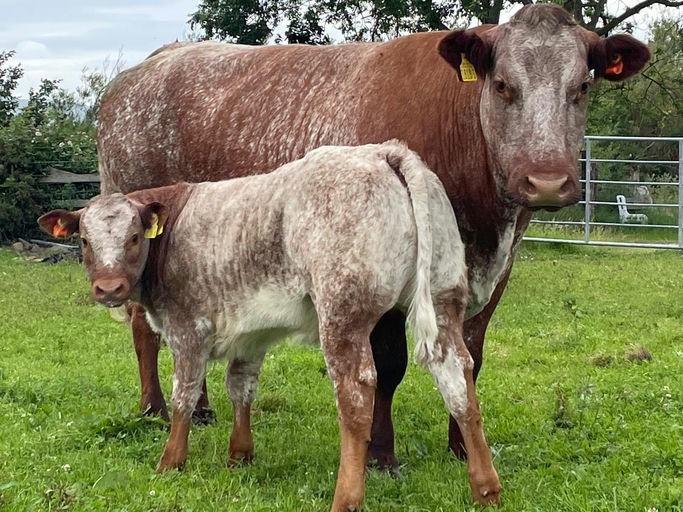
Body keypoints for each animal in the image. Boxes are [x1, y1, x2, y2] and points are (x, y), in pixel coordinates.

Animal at [39, 142, 501, 509]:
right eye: (84, 240)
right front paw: (239, 456)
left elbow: (183, 396)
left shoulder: (187, 327)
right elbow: (241, 387)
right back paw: (486, 488)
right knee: (457, 374)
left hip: (343, 312)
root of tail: (385, 152)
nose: (108, 288)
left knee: (355, 392)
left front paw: (170, 462)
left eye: (135, 237)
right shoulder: (250, 332)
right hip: (443, 294)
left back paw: (345, 497)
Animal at [96, 4, 650, 467]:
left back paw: (202, 408)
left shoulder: (494, 271)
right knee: (144, 327)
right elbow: (388, 365)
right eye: (502, 86)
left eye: (582, 86)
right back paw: (154, 409)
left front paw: (461, 448)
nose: (547, 181)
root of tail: (146, 66)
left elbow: (469, 359)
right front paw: (381, 454)